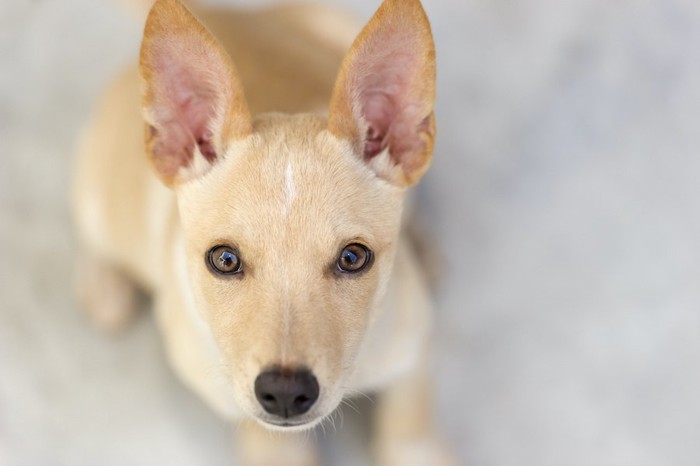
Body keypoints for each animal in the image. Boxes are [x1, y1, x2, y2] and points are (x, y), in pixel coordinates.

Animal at [72, 0, 454, 464]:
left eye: (353, 257)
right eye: (224, 260)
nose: (285, 393)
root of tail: (229, 15)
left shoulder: (415, 347)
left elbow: (411, 427)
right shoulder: (252, 417)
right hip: (96, 191)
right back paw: (102, 285)